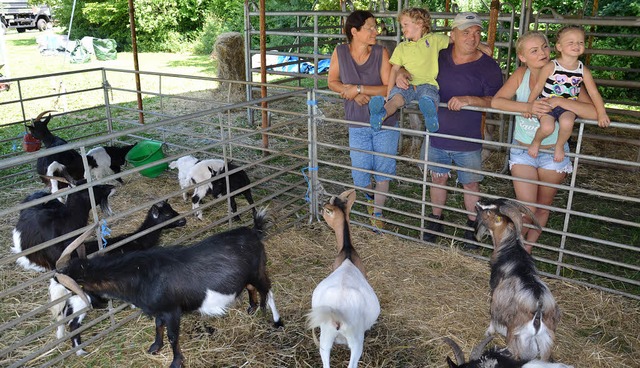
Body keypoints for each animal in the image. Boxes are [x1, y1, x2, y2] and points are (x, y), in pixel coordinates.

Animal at [55, 208, 282, 366]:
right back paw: (252, 308)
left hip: (258, 271)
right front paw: (155, 347)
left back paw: (276, 321)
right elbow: (158, 325)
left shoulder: (173, 310)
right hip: (247, 275)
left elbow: (173, 336)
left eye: (70, 289)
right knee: (251, 287)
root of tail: (254, 232)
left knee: (268, 290)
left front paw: (176, 362)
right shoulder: (160, 309)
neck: (140, 275)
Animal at [306, 190, 380, 368]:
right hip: (352, 339)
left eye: (326, 210)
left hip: (330, 337)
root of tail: (337, 315)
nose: (320, 209)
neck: (347, 251)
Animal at [476, 198, 560, 362]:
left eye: (489, 211)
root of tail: (538, 312)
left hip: (516, 336)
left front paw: (489, 331)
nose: (478, 204)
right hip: (546, 341)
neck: (510, 248)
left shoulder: (495, 288)